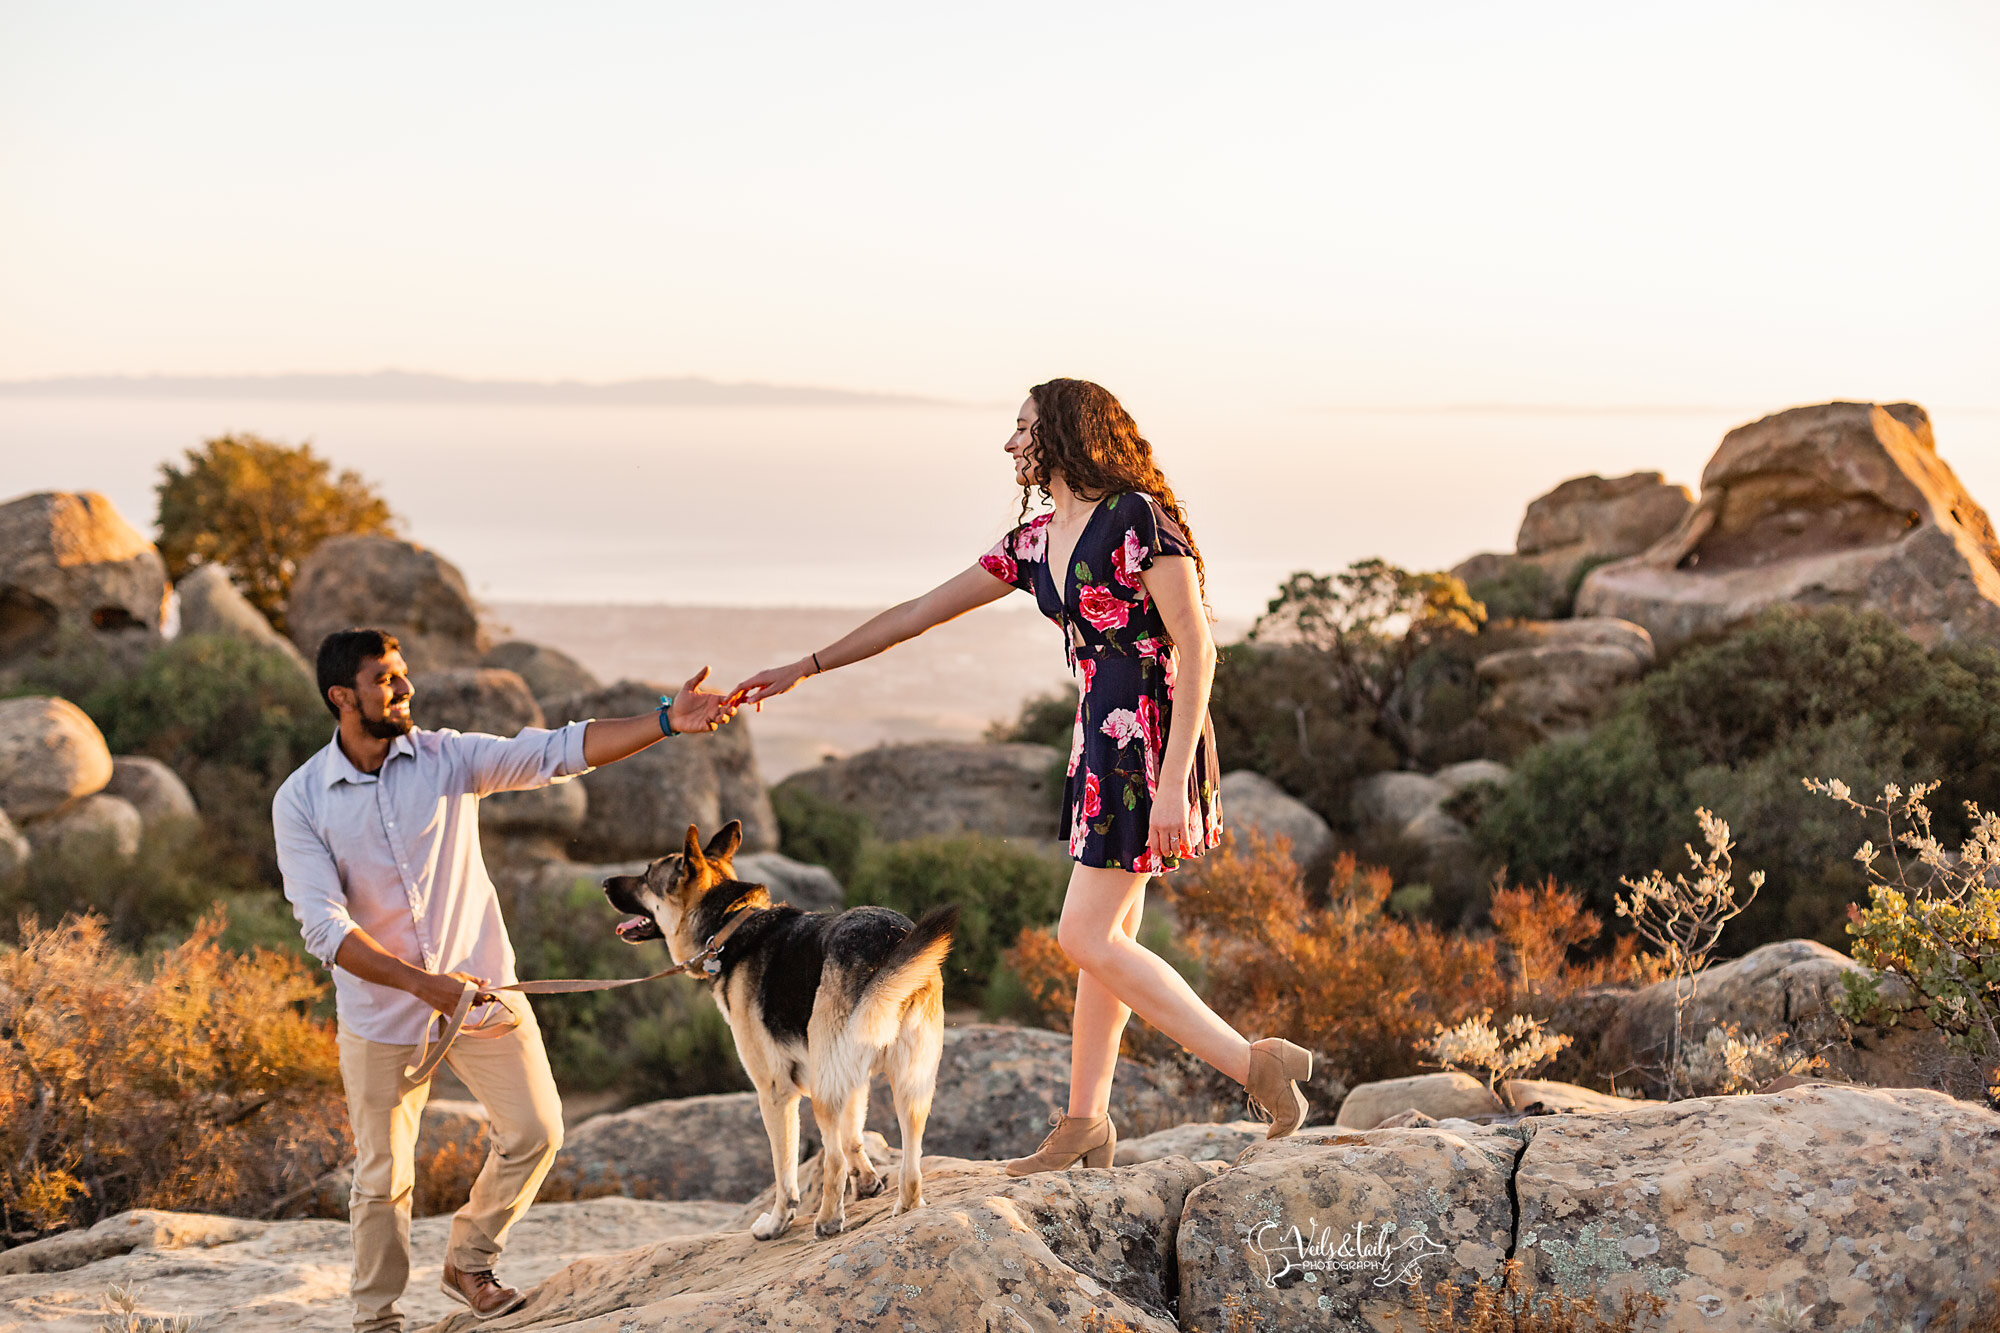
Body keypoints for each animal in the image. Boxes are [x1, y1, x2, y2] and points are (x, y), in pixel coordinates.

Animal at [600, 816, 960, 1240]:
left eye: (645, 875)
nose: (604, 882)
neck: (729, 925)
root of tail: (885, 945)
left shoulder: (774, 1092)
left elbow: (785, 1171)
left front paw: (777, 1221)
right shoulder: (852, 1080)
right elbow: (855, 1138)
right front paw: (868, 1184)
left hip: (824, 1091)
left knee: (831, 1160)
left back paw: (827, 1220)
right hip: (911, 1084)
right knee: (911, 1158)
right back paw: (907, 1207)